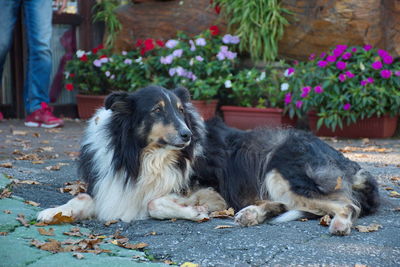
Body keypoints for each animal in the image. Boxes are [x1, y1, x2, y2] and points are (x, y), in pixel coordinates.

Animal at [39, 86, 380, 237]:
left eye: (180, 109)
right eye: (157, 110)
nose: (188, 135)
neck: (144, 157)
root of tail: (350, 164)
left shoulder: (213, 190)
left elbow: (154, 202)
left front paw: (194, 212)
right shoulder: (112, 186)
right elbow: (82, 197)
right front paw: (53, 212)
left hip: (279, 170)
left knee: (347, 205)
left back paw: (339, 224)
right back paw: (251, 214)